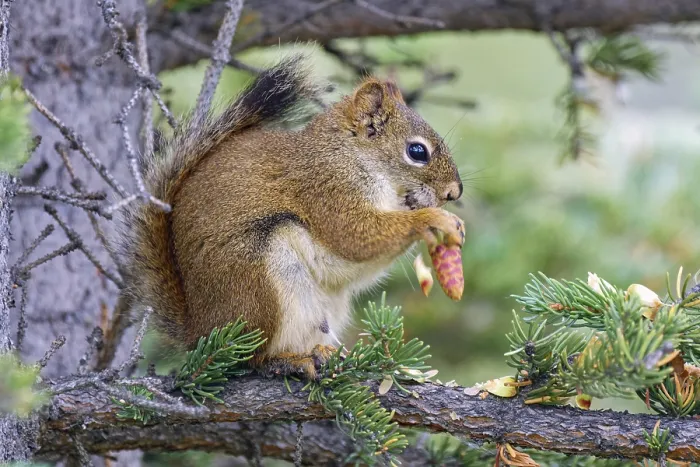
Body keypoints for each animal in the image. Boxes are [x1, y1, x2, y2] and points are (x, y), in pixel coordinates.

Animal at [119, 53, 465, 380]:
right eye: (417, 152)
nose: (454, 193)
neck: (350, 153)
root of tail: (199, 331)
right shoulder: (326, 188)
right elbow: (355, 236)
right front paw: (434, 220)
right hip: (257, 285)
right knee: (250, 359)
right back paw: (287, 362)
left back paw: (324, 353)